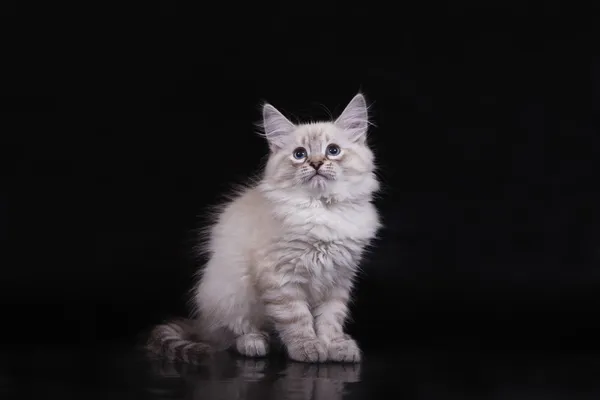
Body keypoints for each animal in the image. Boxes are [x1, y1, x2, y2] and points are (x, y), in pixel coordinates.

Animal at [146, 93, 380, 362]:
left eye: (333, 150)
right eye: (299, 154)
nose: (316, 163)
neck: (321, 209)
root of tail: (202, 323)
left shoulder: (338, 278)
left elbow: (331, 319)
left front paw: (335, 345)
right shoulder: (280, 276)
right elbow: (296, 318)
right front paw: (307, 347)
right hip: (230, 292)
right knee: (231, 334)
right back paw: (255, 343)